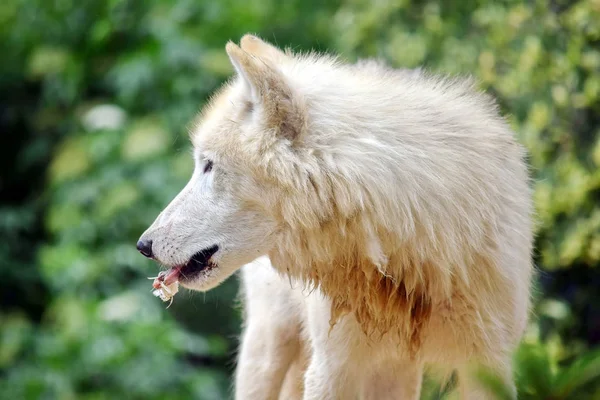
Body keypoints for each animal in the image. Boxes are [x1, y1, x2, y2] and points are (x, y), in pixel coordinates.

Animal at [139, 35, 536, 400]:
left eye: (208, 165)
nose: (143, 245)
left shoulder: (489, 364)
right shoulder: (333, 367)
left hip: (393, 370)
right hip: (270, 348)